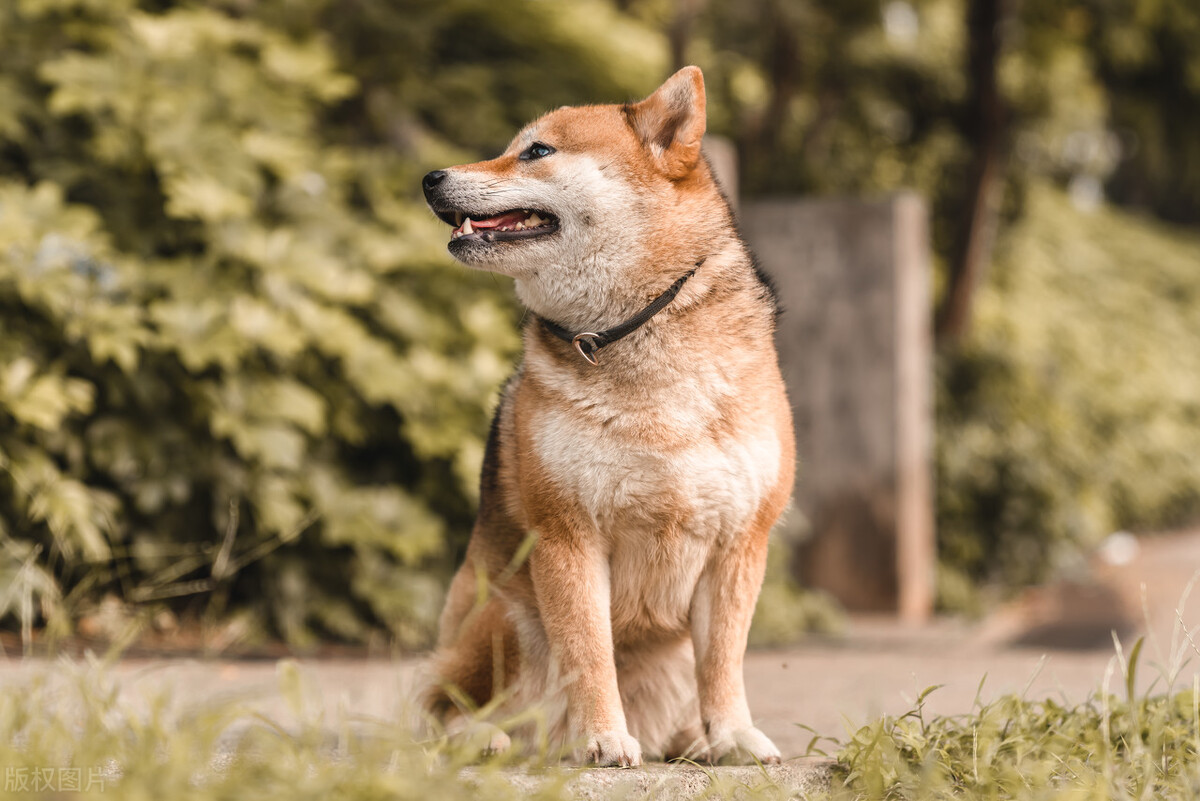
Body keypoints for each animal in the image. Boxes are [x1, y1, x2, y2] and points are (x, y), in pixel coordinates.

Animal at [422, 65, 796, 767]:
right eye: (514, 147)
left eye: (537, 151)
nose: (430, 178)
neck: (631, 332)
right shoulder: (566, 535)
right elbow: (590, 652)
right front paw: (600, 737)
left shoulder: (739, 543)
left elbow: (723, 663)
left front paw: (733, 736)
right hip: (506, 617)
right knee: (440, 708)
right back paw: (491, 739)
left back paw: (692, 741)